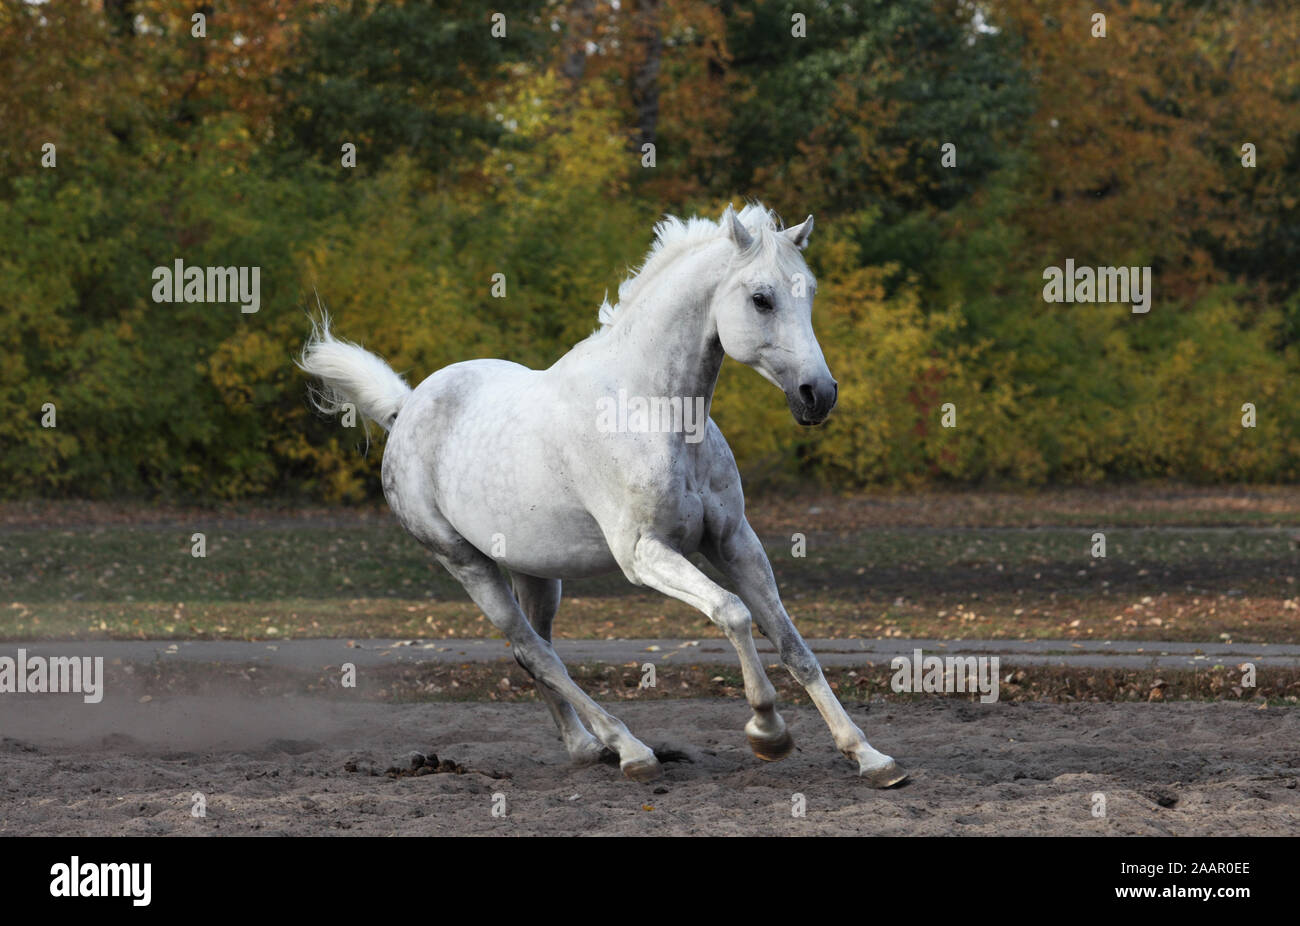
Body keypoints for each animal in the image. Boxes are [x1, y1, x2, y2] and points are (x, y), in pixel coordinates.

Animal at [299, 204, 909, 790]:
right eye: (761, 298)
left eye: (810, 291)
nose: (818, 394)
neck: (653, 410)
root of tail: (406, 409)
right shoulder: (644, 554)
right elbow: (732, 613)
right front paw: (768, 731)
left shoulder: (735, 542)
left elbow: (794, 645)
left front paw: (871, 758)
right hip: (467, 564)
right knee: (537, 655)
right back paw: (632, 751)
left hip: (537, 573)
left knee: (537, 654)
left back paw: (588, 748)